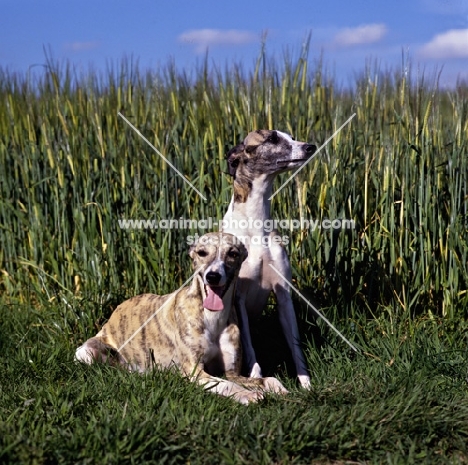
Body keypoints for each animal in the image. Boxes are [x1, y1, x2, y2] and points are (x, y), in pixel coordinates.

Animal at [75, 231, 288, 402]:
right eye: (202, 252)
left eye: (233, 253)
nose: (213, 276)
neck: (213, 318)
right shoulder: (194, 371)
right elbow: (226, 384)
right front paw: (247, 394)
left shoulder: (230, 371)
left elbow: (266, 379)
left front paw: (279, 389)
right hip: (87, 352)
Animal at [221, 130, 316, 388]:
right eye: (272, 138)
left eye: (290, 136)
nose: (310, 147)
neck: (256, 224)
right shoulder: (238, 298)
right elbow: (249, 346)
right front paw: (257, 378)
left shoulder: (283, 293)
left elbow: (295, 346)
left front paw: (306, 383)